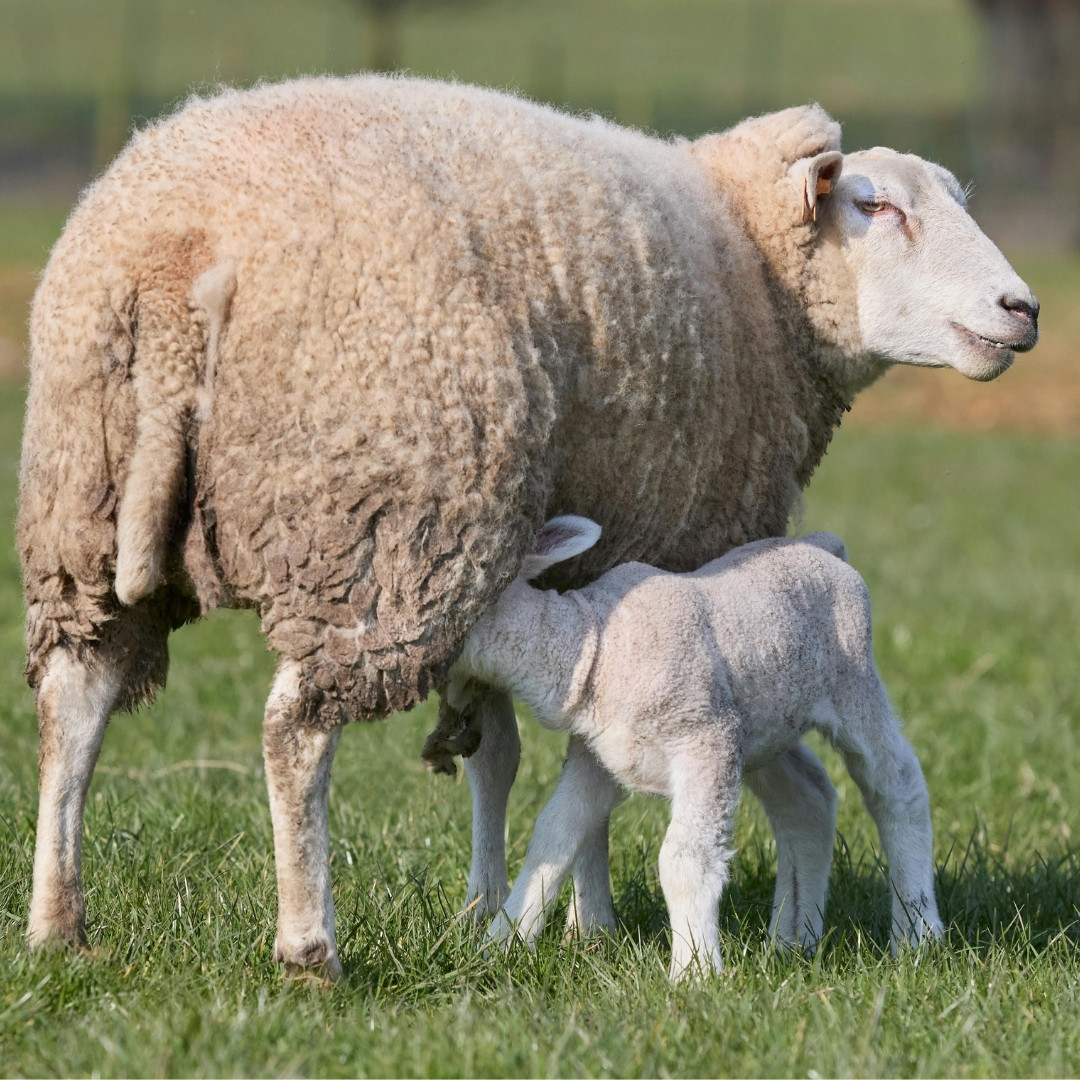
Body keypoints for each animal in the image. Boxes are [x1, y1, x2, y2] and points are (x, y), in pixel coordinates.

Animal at [443, 517, 943, 980]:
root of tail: (824, 545)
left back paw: (917, 935)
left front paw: (694, 972)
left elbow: (684, 860)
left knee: (897, 787)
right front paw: (498, 945)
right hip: (765, 724)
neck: (594, 649)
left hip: (852, 681)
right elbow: (554, 836)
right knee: (807, 800)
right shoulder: (597, 758)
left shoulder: (707, 740)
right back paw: (793, 940)